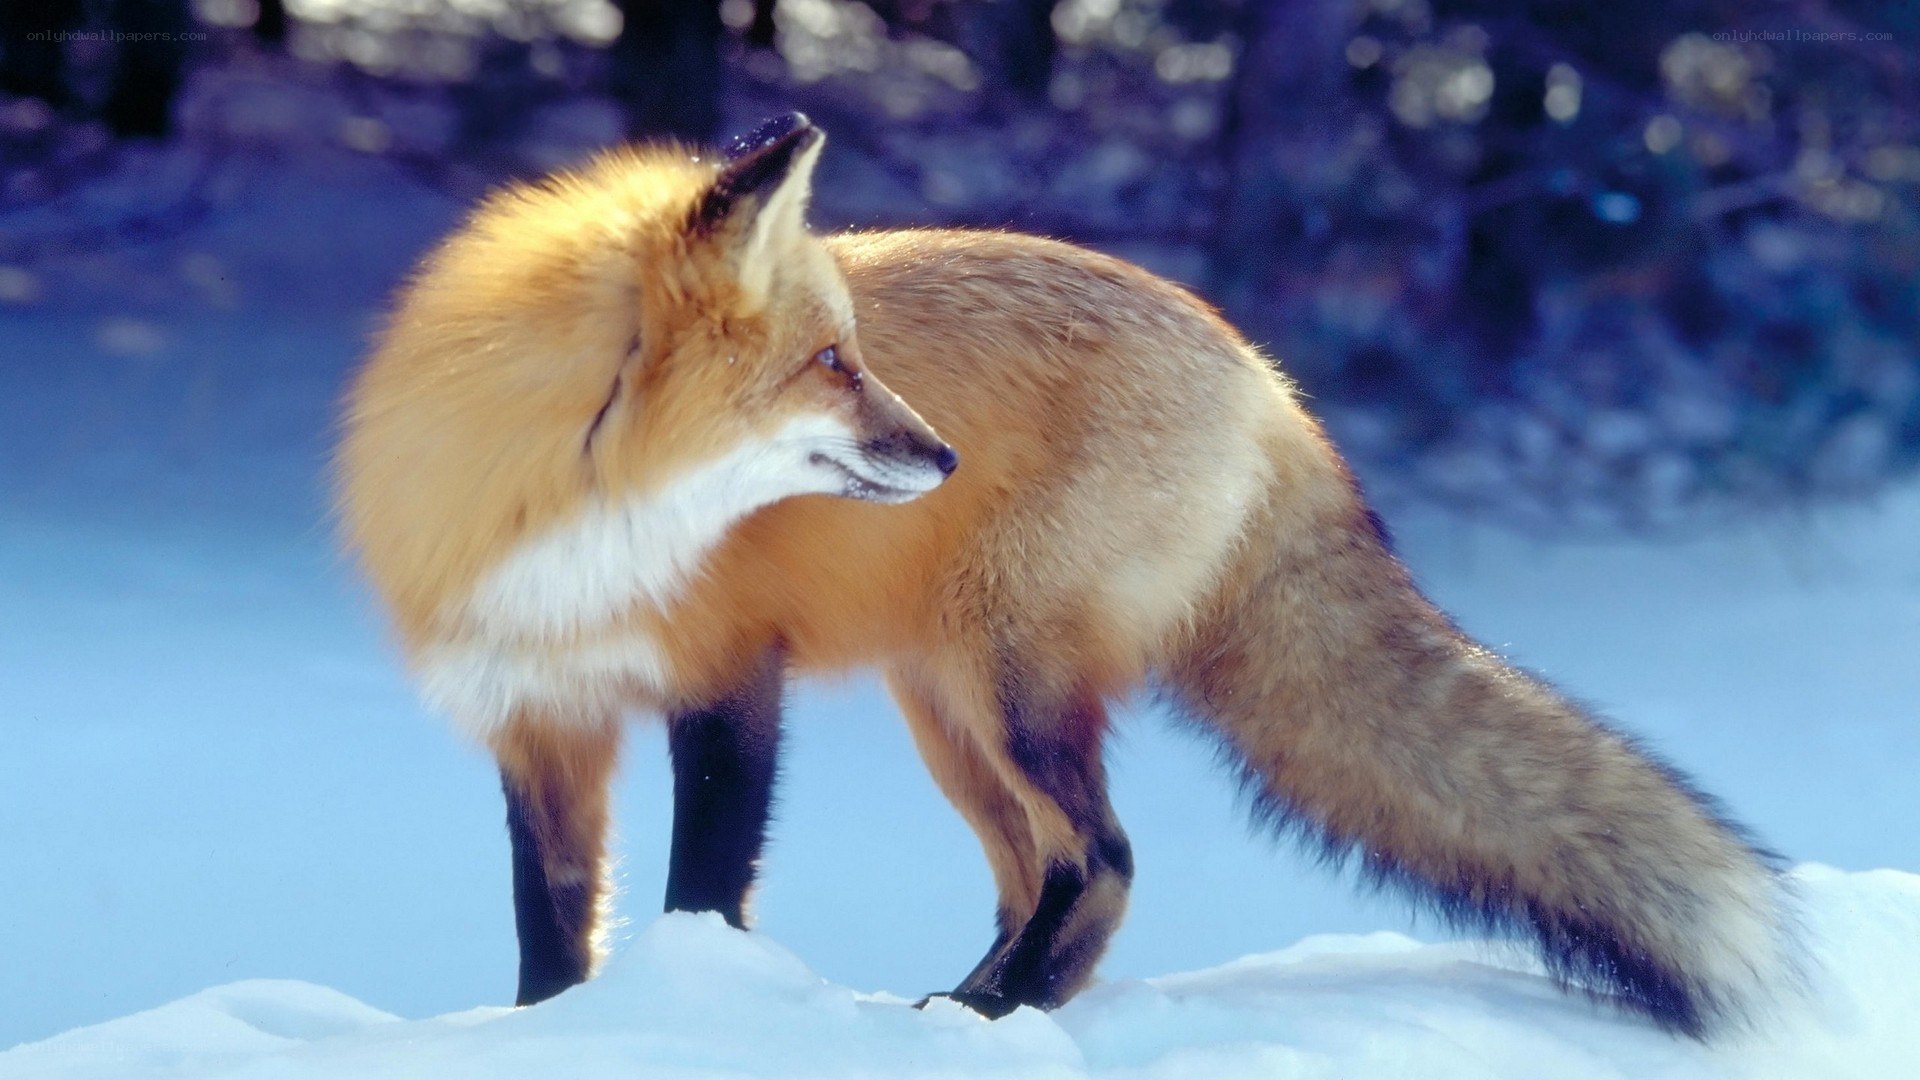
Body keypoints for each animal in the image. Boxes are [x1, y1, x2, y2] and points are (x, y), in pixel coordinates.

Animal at [336, 113, 1795, 1036]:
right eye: (831, 364)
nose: (942, 452)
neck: (576, 522)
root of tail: (1266, 377)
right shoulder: (536, 713)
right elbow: (549, 925)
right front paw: (547, 1032)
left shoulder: (731, 682)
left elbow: (703, 892)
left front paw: (691, 1016)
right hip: (949, 707)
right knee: (1034, 871)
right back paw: (976, 1005)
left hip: (1008, 682)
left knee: (1103, 860)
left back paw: (996, 1014)